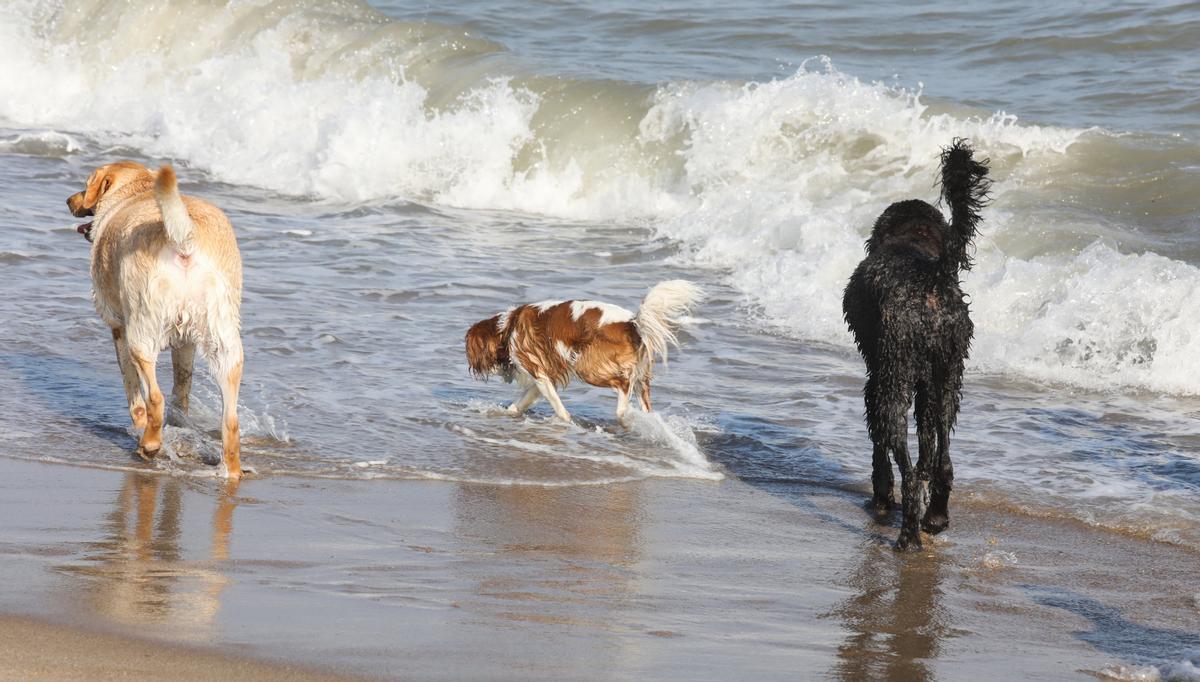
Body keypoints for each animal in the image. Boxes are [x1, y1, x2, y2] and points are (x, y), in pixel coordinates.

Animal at [66, 162, 244, 477]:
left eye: (86, 185)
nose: (69, 200)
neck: (137, 192)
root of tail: (184, 240)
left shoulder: (119, 329)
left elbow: (133, 392)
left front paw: (139, 425)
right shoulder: (185, 343)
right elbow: (181, 390)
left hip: (141, 333)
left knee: (155, 398)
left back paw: (148, 444)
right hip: (224, 340)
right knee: (230, 421)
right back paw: (230, 471)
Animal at [840, 138, 988, 549]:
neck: (914, 241)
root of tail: (932, 278)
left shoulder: (878, 375)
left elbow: (880, 446)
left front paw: (880, 496)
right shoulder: (928, 383)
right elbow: (928, 446)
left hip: (893, 378)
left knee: (904, 465)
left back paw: (908, 534)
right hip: (948, 377)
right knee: (942, 460)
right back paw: (935, 515)